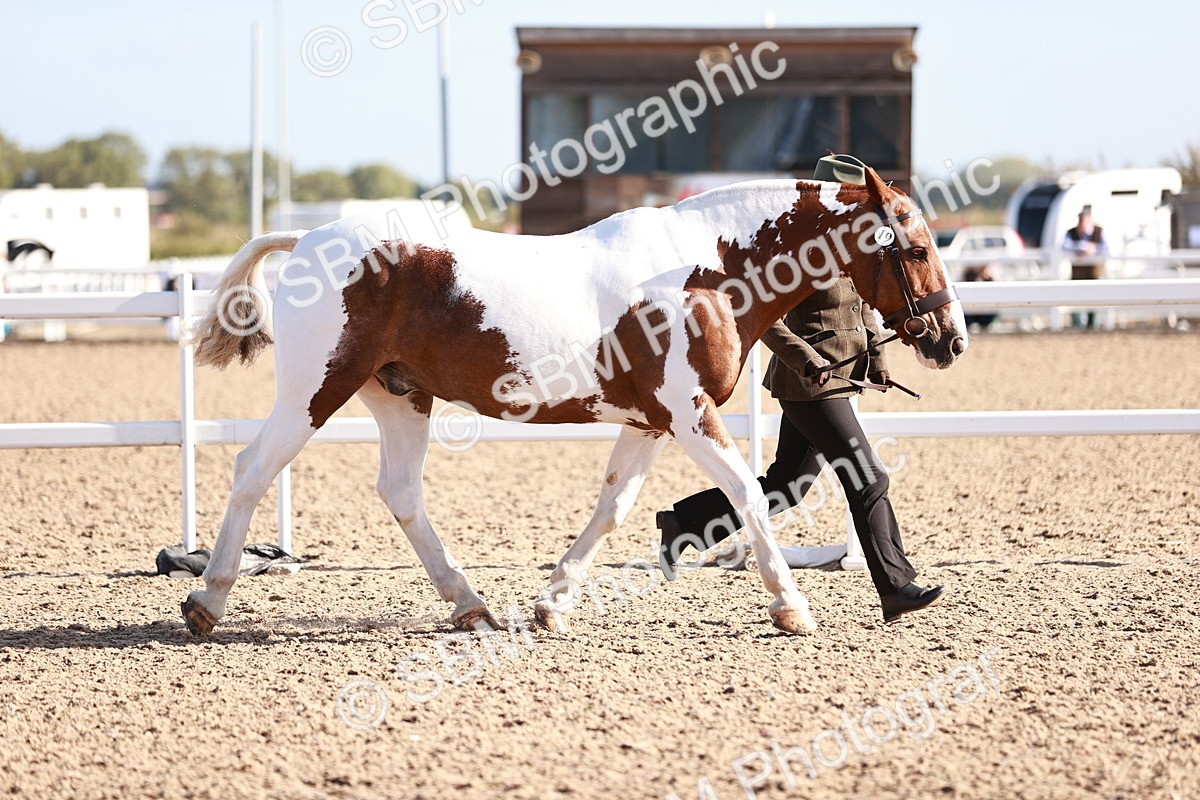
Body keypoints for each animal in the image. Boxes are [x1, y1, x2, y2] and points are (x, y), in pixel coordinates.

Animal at [181, 165, 967, 637]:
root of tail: (306, 237)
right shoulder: (690, 415)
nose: (950, 338)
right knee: (253, 470)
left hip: (400, 398)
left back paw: (470, 604)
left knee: (400, 492)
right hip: (316, 391)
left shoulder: (652, 422)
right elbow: (746, 490)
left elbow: (614, 505)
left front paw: (552, 604)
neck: (708, 271)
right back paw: (205, 601)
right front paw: (791, 606)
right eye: (917, 248)